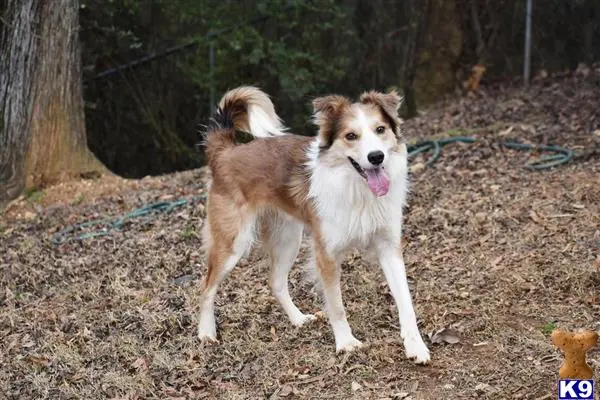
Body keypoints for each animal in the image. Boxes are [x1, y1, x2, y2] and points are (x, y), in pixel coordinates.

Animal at [199, 86, 428, 364]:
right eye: (351, 136)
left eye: (380, 129)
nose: (376, 157)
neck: (356, 187)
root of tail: (225, 151)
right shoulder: (325, 254)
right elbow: (336, 305)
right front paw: (346, 343)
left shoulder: (389, 247)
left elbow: (405, 301)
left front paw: (415, 345)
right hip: (233, 243)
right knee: (206, 287)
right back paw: (206, 333)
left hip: (288, 239)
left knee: (276, 282)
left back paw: (298, 319)